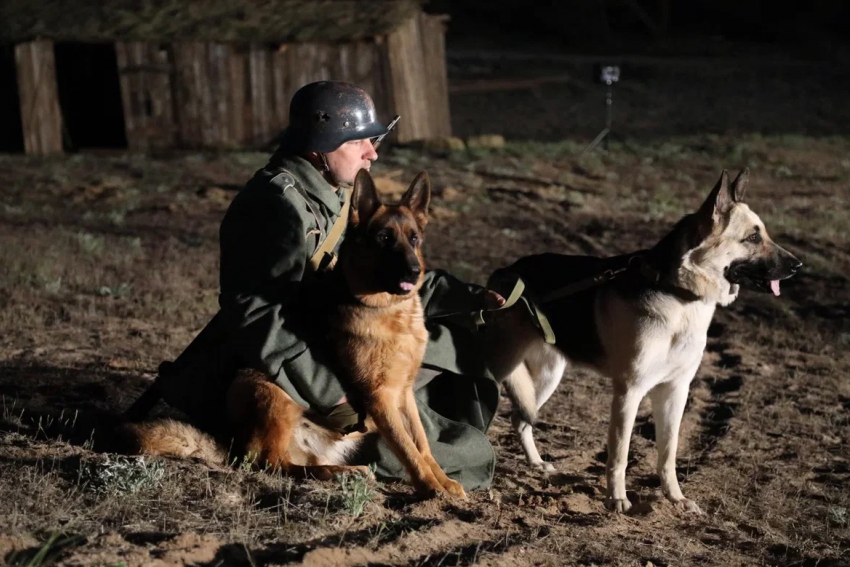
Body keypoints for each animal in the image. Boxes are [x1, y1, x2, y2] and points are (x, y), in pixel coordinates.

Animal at [123, 171, 464, 500]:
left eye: (414, 239)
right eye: (383, 239)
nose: (414, 271)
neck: (389, 310)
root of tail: (231, 442)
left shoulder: (403, 394)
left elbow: (422, 445)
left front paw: (443, 481)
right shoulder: (380, 397)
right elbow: (407, 449)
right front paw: (429, 487)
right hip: (271, 391)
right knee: (270, 463)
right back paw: (337, 473)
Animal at [484, 169, 800, 516]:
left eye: (763, 233)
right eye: (753, 238)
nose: (798, 266)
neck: (679, 295)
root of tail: (503, 273)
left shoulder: (675, 391)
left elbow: (668, 453)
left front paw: (675, 497)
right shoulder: (629, 392)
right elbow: (619, 454)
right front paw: (617, 499)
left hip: (546, 378)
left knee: (520, 418)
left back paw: (536, 463)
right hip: (497, 370)